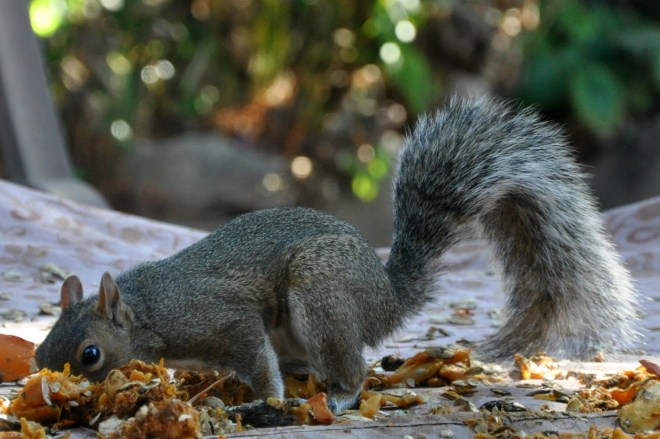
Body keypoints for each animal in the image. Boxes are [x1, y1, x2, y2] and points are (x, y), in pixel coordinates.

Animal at [35, 96, 639, 412]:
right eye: (40, 349)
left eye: (90, 354)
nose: (49, 385)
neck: (147, 310)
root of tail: (386, 298)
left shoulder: (219, 319)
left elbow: (254, 356)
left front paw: (266, 400)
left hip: (321, 292)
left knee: (354, 369)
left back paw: (338, 398)